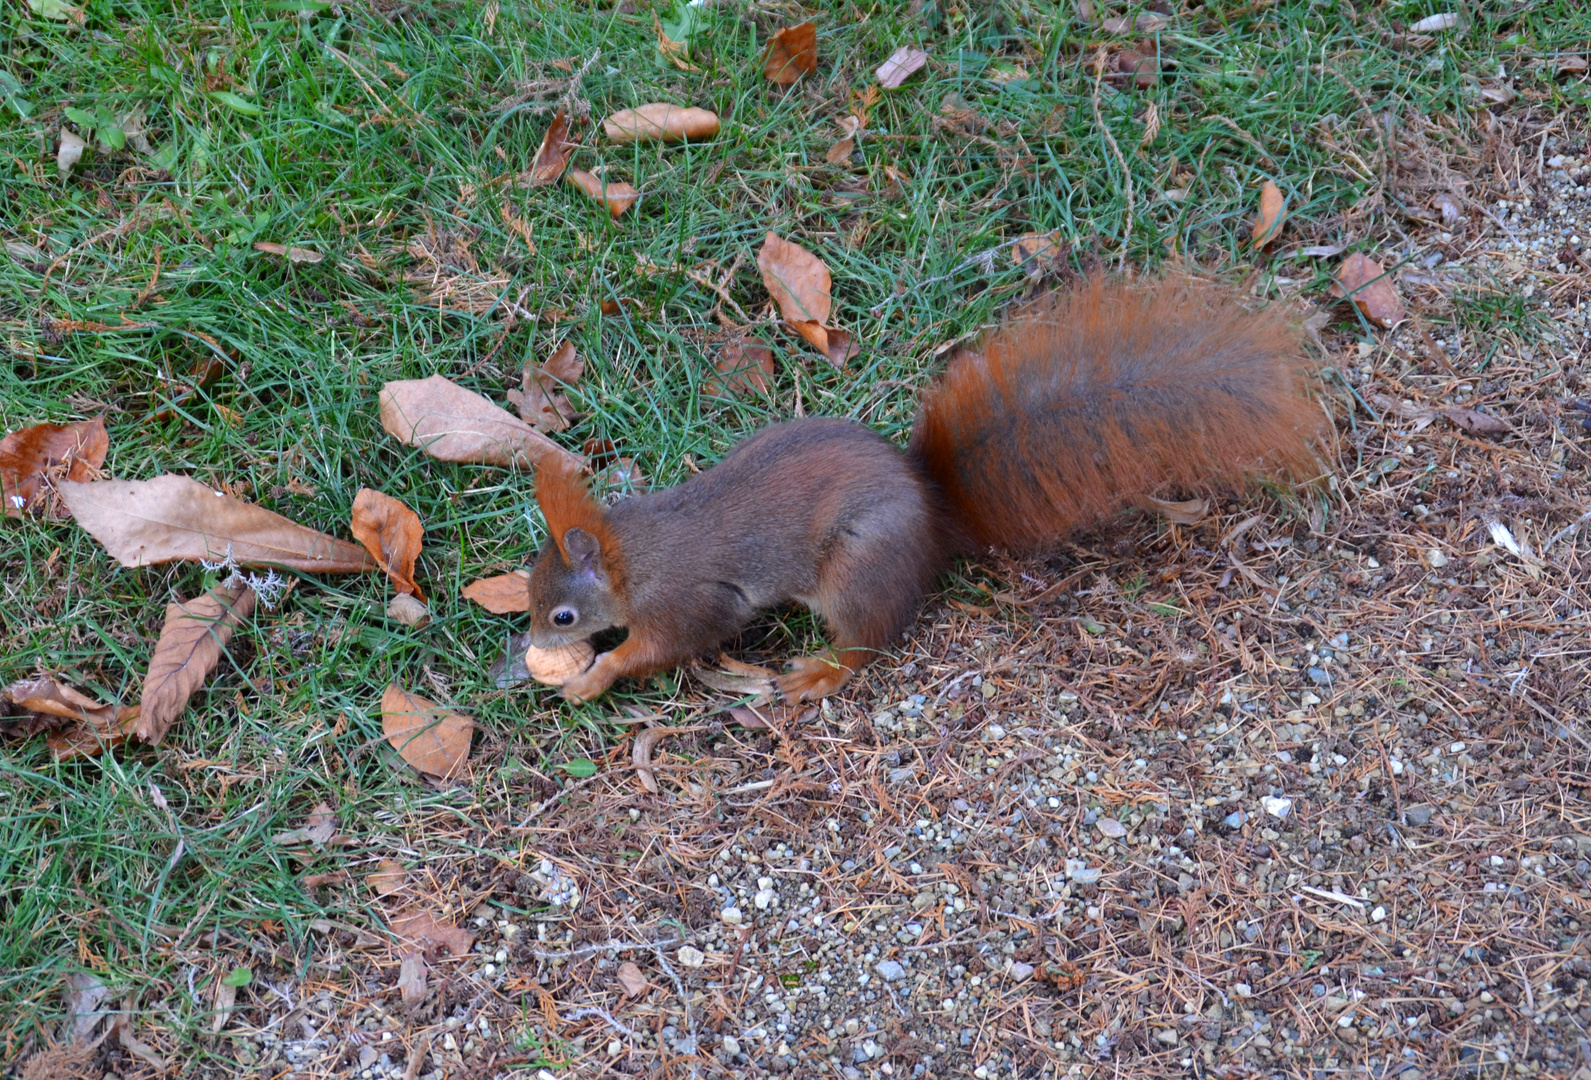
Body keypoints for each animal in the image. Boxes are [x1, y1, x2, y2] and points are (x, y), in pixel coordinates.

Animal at [525, 275, 1330, 706]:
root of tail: (934, 509)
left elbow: (667, 645)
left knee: (868, 641)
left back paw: (819, 672)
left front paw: (594, 676)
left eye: (562, 616)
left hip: (856, 566)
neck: (631, 554)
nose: (532, 645)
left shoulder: (687, 602)